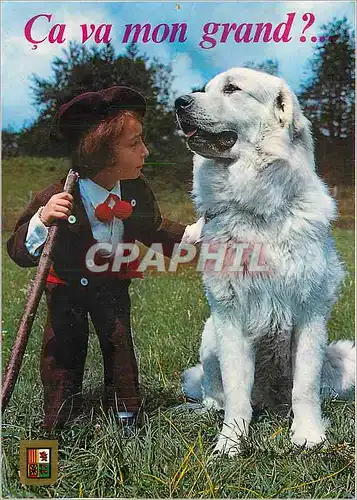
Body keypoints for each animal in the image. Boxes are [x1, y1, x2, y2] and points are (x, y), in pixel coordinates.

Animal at [177, 67, 354, 458]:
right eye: (206, 88)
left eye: (231, 89)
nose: (179, 102)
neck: (258, 207)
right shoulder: (230, 317)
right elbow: (236, 392)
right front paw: (230, 443)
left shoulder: (309, 314)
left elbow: (305, 387)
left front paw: (308, 435)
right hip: (209, 334)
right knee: (213, 390)